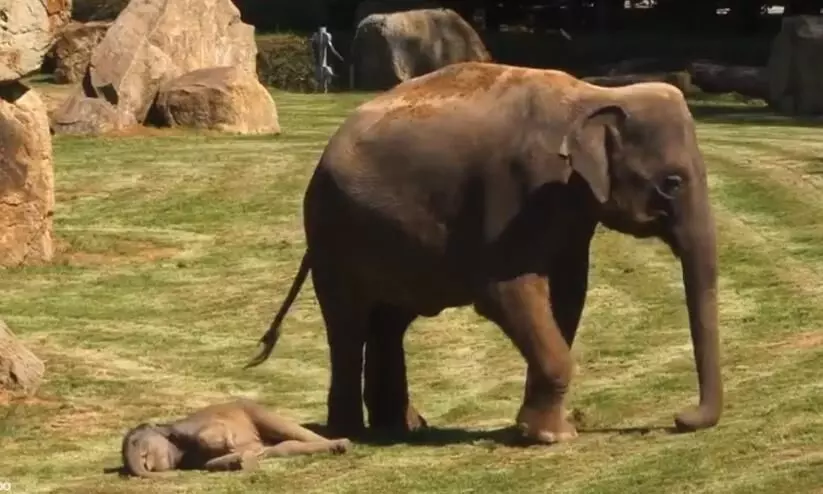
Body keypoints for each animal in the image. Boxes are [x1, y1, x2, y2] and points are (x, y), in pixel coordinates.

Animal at [247, 61, 722, 444]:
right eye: (672, 182)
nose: (680, 418)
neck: (592, 95)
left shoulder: (569, 208)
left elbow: (568, 294)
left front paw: (536, 429)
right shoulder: (516, 190)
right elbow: (507, 292)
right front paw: (551, 438)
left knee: (388, 322)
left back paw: (402, 427)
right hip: (332, 234)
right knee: (348, 325)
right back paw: (350, 432)